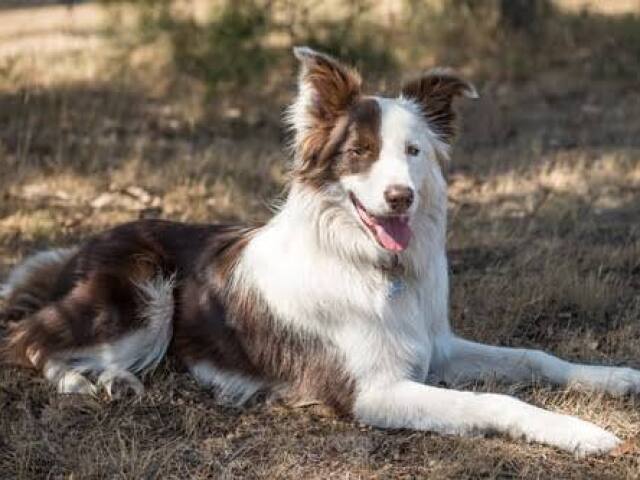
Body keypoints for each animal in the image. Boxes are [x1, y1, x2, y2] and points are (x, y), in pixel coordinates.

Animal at [1, 47, 640, 456]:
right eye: (359, 152)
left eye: (413, 151)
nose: (401, 197)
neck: (375, 267)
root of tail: (81, 247)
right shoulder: (372, 393)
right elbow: (497, 403)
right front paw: (582, 434)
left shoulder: (436, 346)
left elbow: (536, 358)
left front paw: (614, 377)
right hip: (143, 290)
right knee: (29, 339)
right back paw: (87, 384)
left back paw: (115, 381)